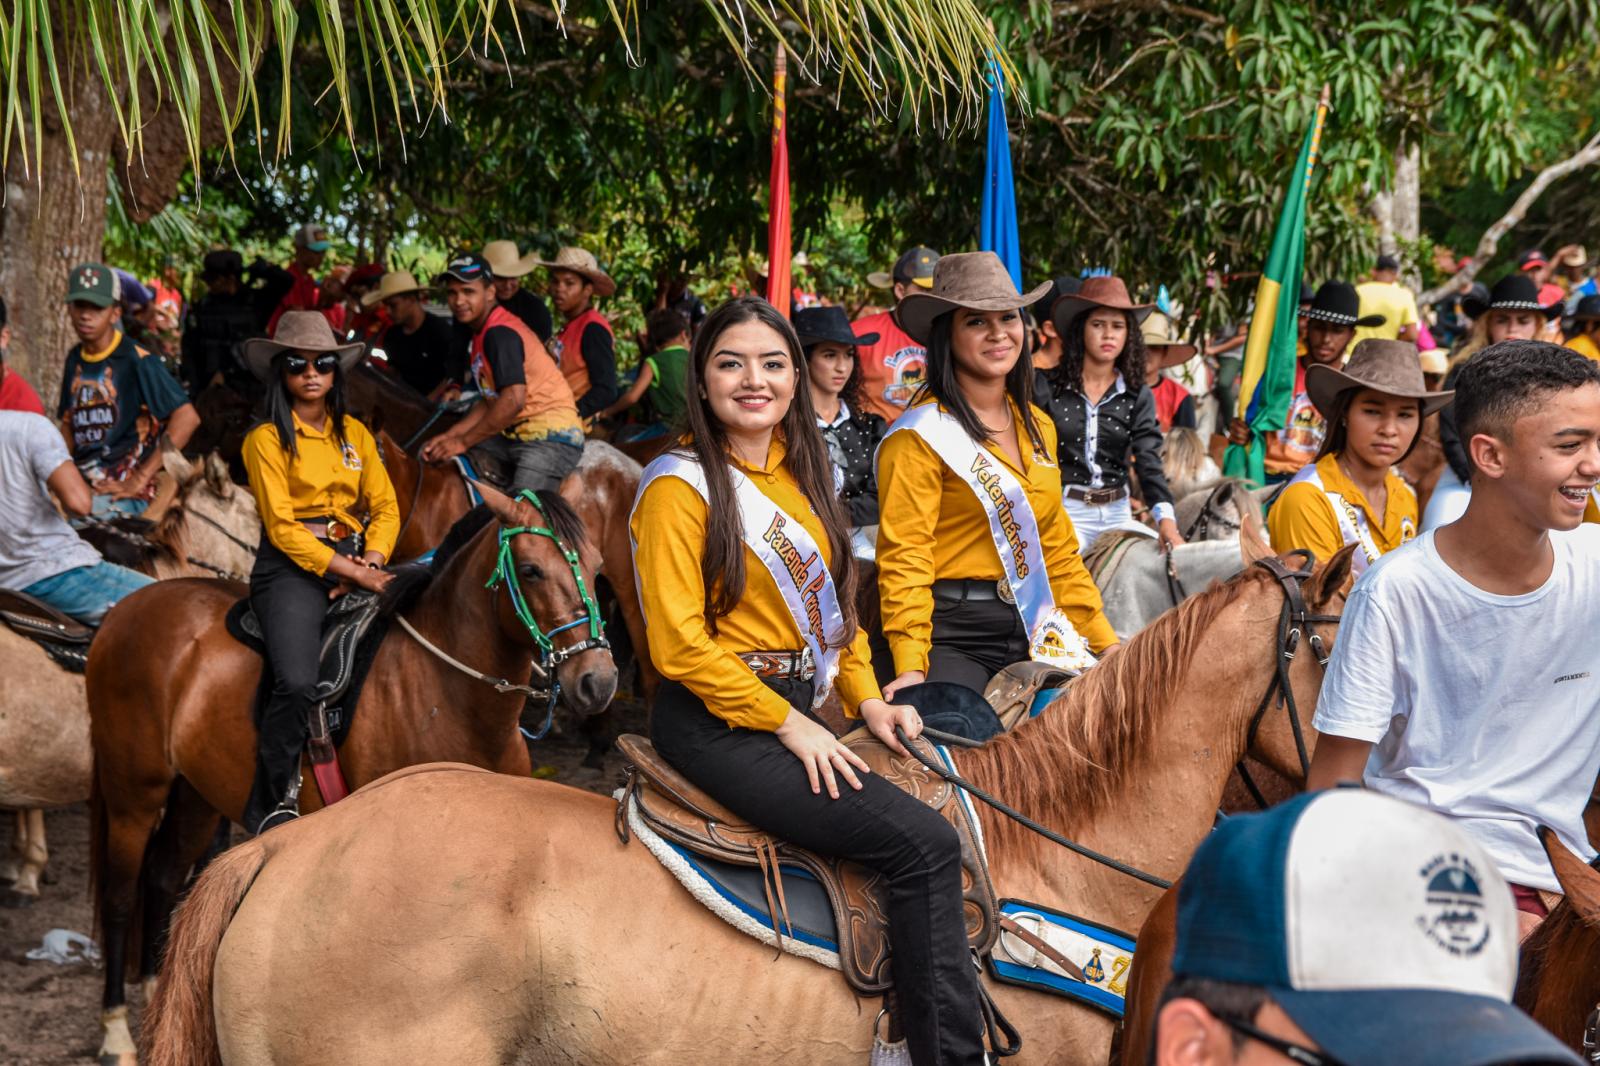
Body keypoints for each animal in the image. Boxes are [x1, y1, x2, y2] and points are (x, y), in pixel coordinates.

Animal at [86, 483, 617, 1062]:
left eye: (596, 565)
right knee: (120, 897)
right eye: (531, 569)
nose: (598, 680)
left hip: (195, 797)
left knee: (162, 880)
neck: (444, 690)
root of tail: (125, 609)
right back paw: (115, 1030)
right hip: (133, 793)